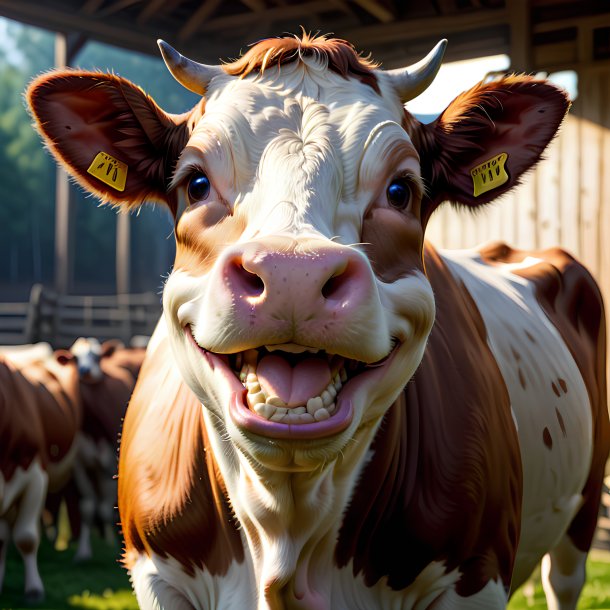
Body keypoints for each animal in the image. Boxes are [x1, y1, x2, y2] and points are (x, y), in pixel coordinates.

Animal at [26, 32, 604, 608]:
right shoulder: (157, 574)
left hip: (582, 514)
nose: (292, 274)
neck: (288, 528)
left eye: (401, 190)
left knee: (562, 580)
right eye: (195, 183)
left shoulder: (474, 575)